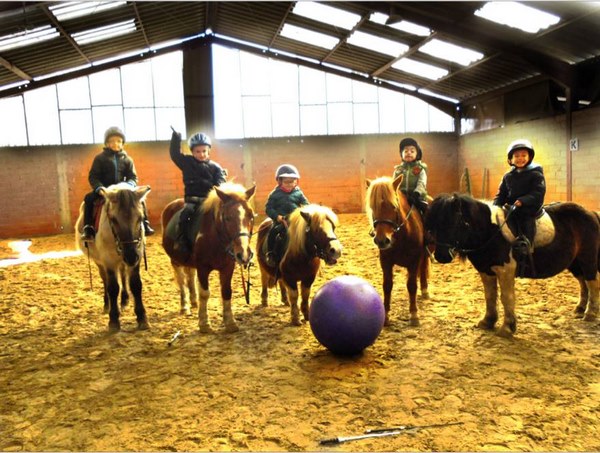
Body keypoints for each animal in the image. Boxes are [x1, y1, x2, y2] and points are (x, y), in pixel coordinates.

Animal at [163, 182, 256, 334]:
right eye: (227, 217)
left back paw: (194, 301)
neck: (215, 237)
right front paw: (204, 324)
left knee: (190, 276)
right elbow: (205, 293)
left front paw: (230, 323)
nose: (244, 254)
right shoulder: (203, 268)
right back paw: (185, 306)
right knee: (182, 281)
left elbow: (226, 292)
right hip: (176, 261)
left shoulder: (227, 268)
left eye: (251, 216)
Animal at [364, 175, 428, 326]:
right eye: (373, 207)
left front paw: (414, 315)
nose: (382, 240)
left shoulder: (414, 261)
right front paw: (386, 316)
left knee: (423, 267)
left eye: (393, 207)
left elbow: (411, 285)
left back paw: (424, 289)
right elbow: (387, 285)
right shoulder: (386, 262)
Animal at [426, 192, 600, 338]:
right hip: (574, 262)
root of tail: (591, 213)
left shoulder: (505, 270)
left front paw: (507, 328)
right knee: (582, 281)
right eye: (434, 224)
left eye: (454, 222)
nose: (441, 256)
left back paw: (590, 313)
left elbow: (507, 297)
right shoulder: (486, 270)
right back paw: (580, 308)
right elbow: (490, 295)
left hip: (588, 259)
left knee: (592, 282)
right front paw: (487, 321)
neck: (489, 231)